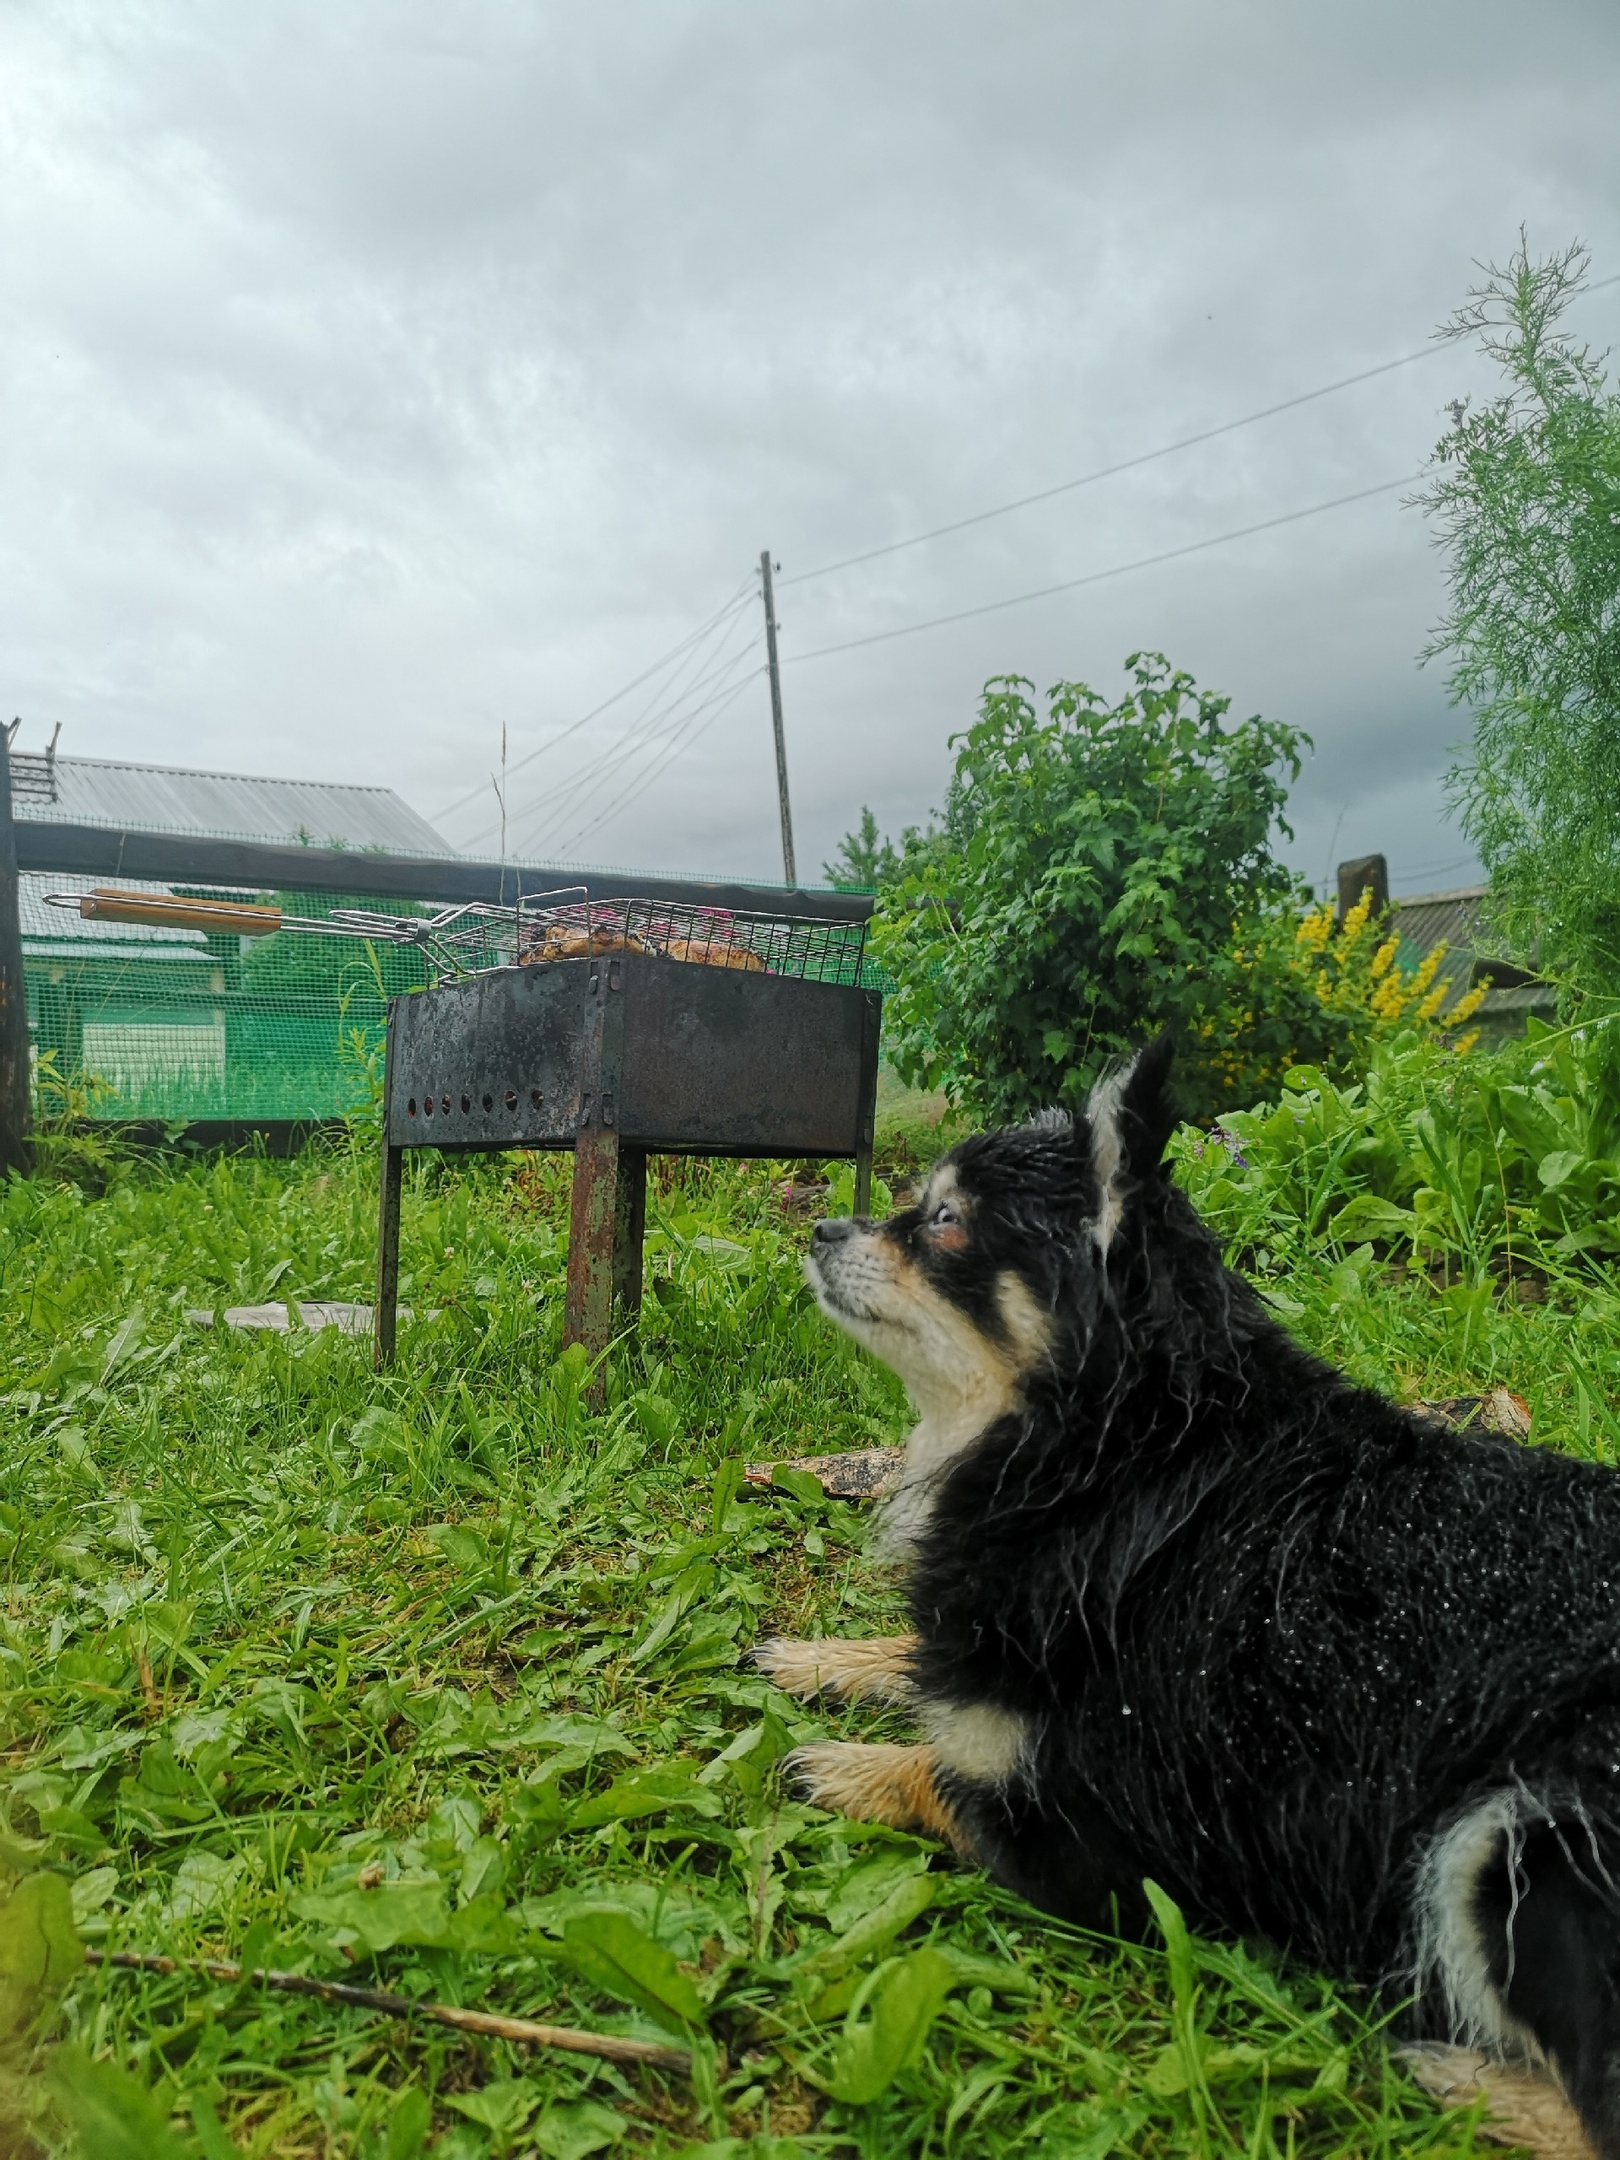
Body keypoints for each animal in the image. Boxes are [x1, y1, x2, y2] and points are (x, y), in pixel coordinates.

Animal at [756, 1036, 1620, 2151]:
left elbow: (953, 1778)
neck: (1120, 1455)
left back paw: (1448, 2075)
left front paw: (848, 1764)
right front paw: (825, 1659)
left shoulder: (1115, 1840)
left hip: (1517, 1838)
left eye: (942, 1220)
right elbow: (932, 1668)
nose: (821, 1225)